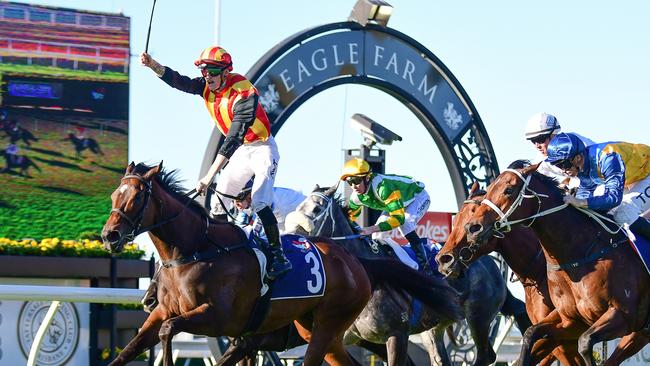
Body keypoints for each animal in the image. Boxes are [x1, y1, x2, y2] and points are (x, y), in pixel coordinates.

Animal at [460, 163, 648, 366]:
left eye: (508, 190)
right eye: (488, 191)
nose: (473, 228)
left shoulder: (622, 316)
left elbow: (585, 342)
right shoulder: (570, 321)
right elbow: (530, 334)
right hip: (639, 335)